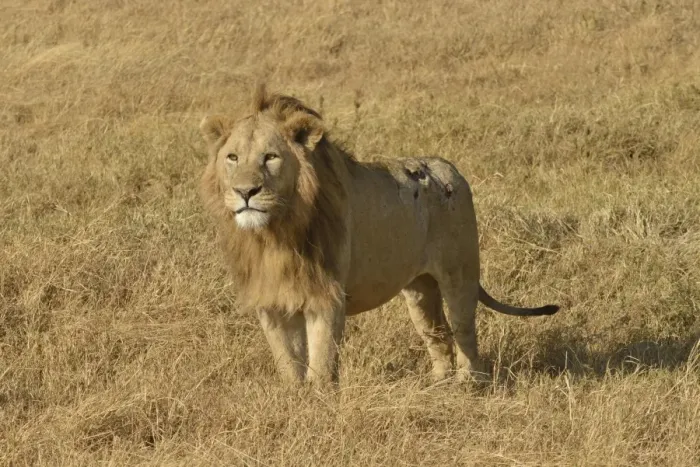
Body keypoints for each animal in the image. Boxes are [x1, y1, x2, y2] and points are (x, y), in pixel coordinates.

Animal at [199, 85, 559, 385]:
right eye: (232, 158)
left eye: (271, 157)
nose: (245, 192)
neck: (275, 233)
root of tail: (453, 170)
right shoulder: (272, 301)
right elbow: (288, 363)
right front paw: (294, 401)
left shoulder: (326, 298)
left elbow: (321, 364)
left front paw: (318, 404)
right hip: (420, 289)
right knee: (438, 333)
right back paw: (437, 385)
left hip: (460, 274)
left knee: (464, 332)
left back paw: (469, 385)